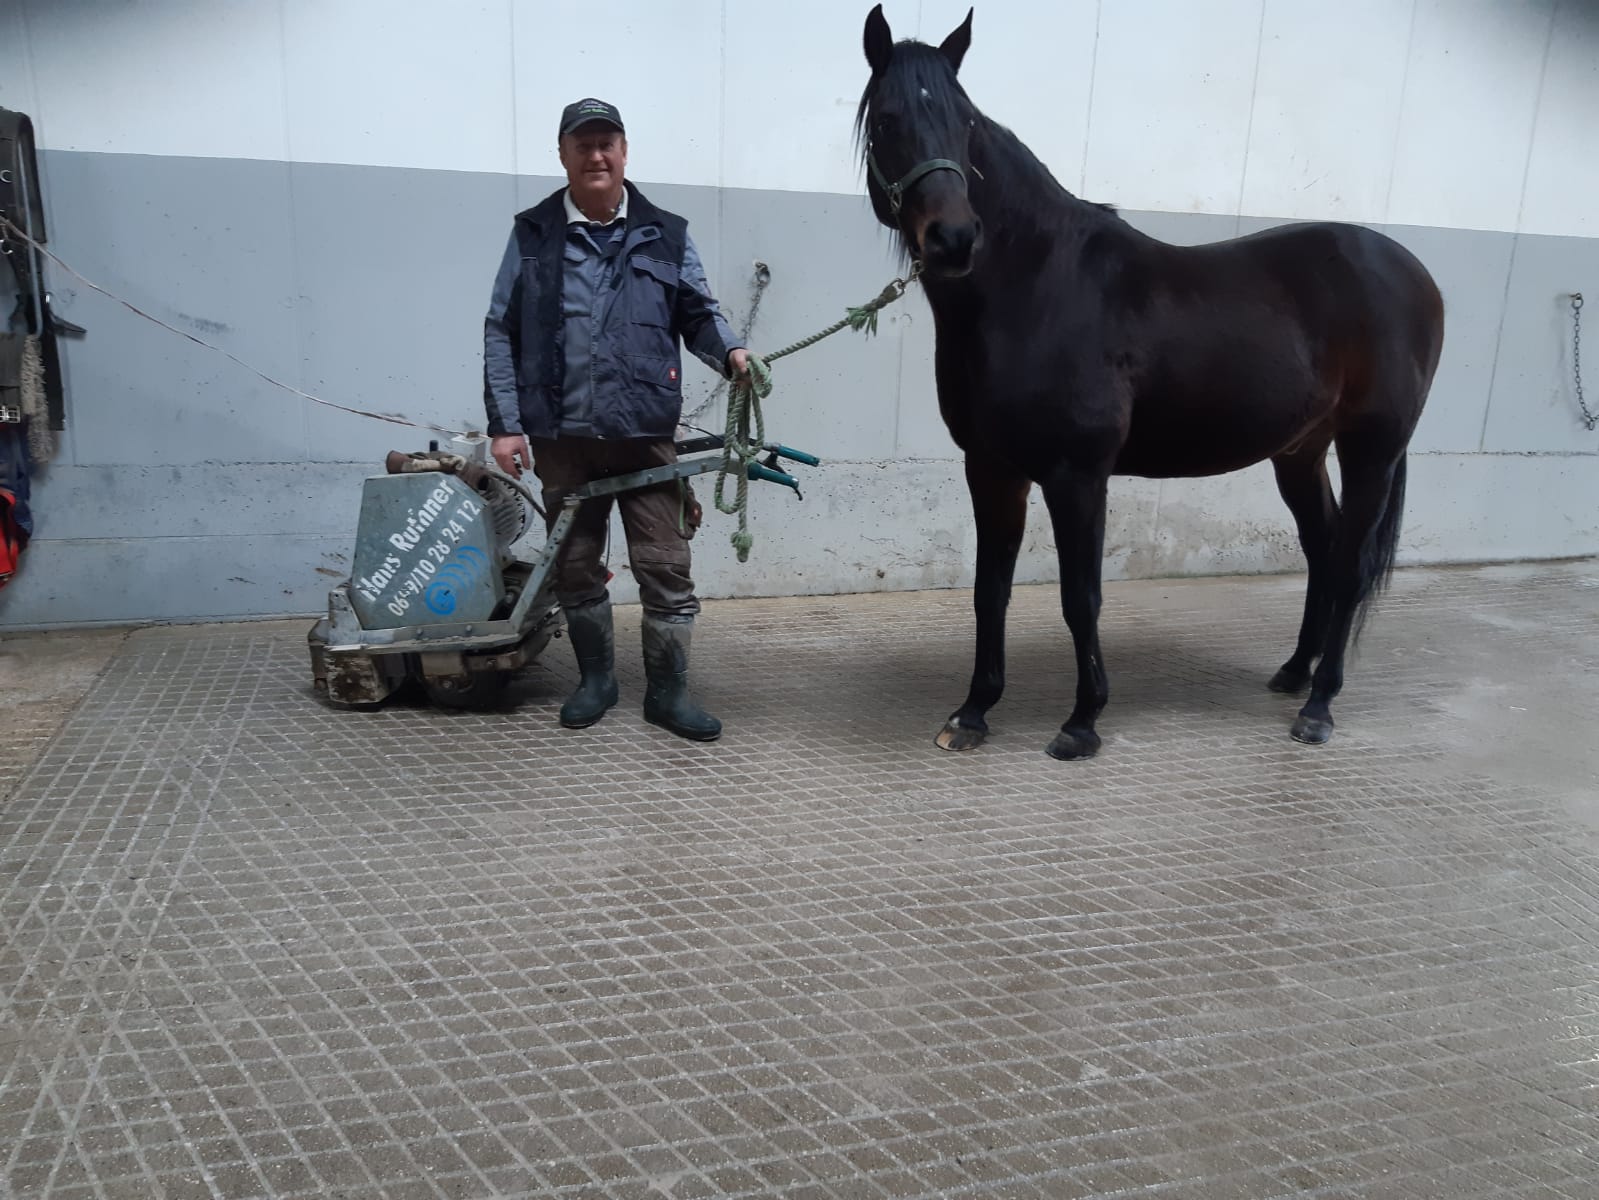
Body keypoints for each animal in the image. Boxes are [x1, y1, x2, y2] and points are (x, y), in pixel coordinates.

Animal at [856, 5, 1445, 759]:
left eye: (964, 121)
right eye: (888, 119)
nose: (955, 239)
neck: (1034, 286)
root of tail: (1408, 269)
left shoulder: (1077, 474)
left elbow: (1081, 597)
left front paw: (1082, 721)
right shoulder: (990, 468)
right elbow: (990, 589)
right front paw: (973, 712)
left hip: (1371, 448)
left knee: (1348, 563)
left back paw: (1318, 706)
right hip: (1299, 452)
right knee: (1323, 547)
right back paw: (1292, 673)